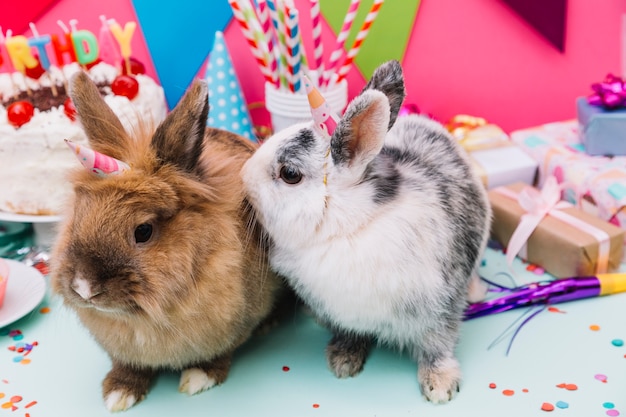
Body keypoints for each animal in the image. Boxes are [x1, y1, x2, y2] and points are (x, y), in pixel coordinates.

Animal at [51, 71, 286, 410]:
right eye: (78, 214)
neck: (145, 316)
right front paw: (118, 394)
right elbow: (128, 366)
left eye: (143, 231)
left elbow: (219, 356)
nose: (84, 288)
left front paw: (198, 378)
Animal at [241, 60, 490, 402]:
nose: (243, 177)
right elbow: (349, 334)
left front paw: (440, 386)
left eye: (289, 174)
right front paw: (342, 360)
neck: (346, 230)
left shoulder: (440, 307)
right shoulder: (343, 313)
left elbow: (438, 345)